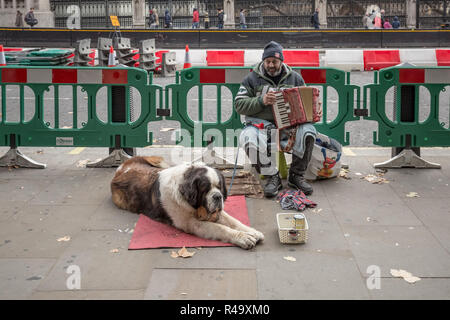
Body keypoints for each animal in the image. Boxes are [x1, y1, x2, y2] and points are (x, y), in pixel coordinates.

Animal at [110, 156, 264, 249]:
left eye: (219, 187)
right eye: (205, 189)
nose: (218, 196)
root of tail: (120, 169)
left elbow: (233, 221)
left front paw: (252, 232)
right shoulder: (191, 223)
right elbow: (220, 228)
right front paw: (244, 238)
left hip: (159, 161)